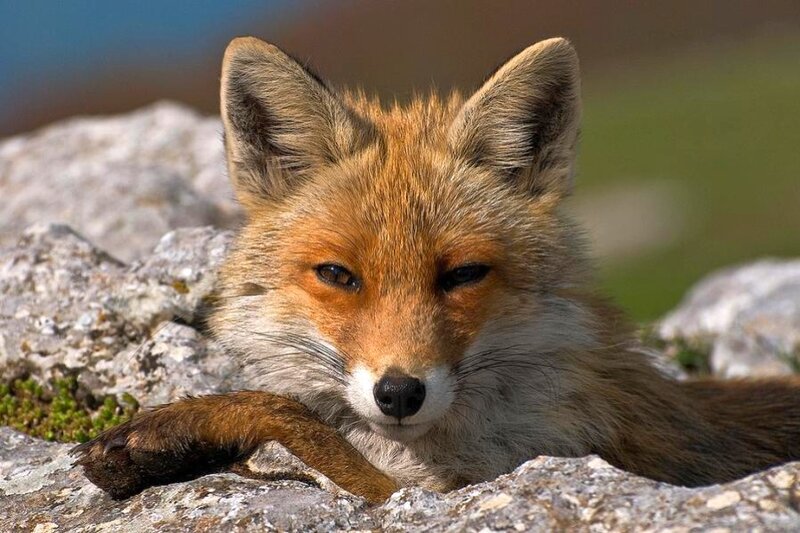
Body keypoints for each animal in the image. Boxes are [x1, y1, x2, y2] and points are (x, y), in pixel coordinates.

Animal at [74, 36, 800, 504]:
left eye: (463, 274)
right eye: (338, 275)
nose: (399, 393)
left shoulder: (446, 491)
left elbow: (293, 416)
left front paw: (178, 427)